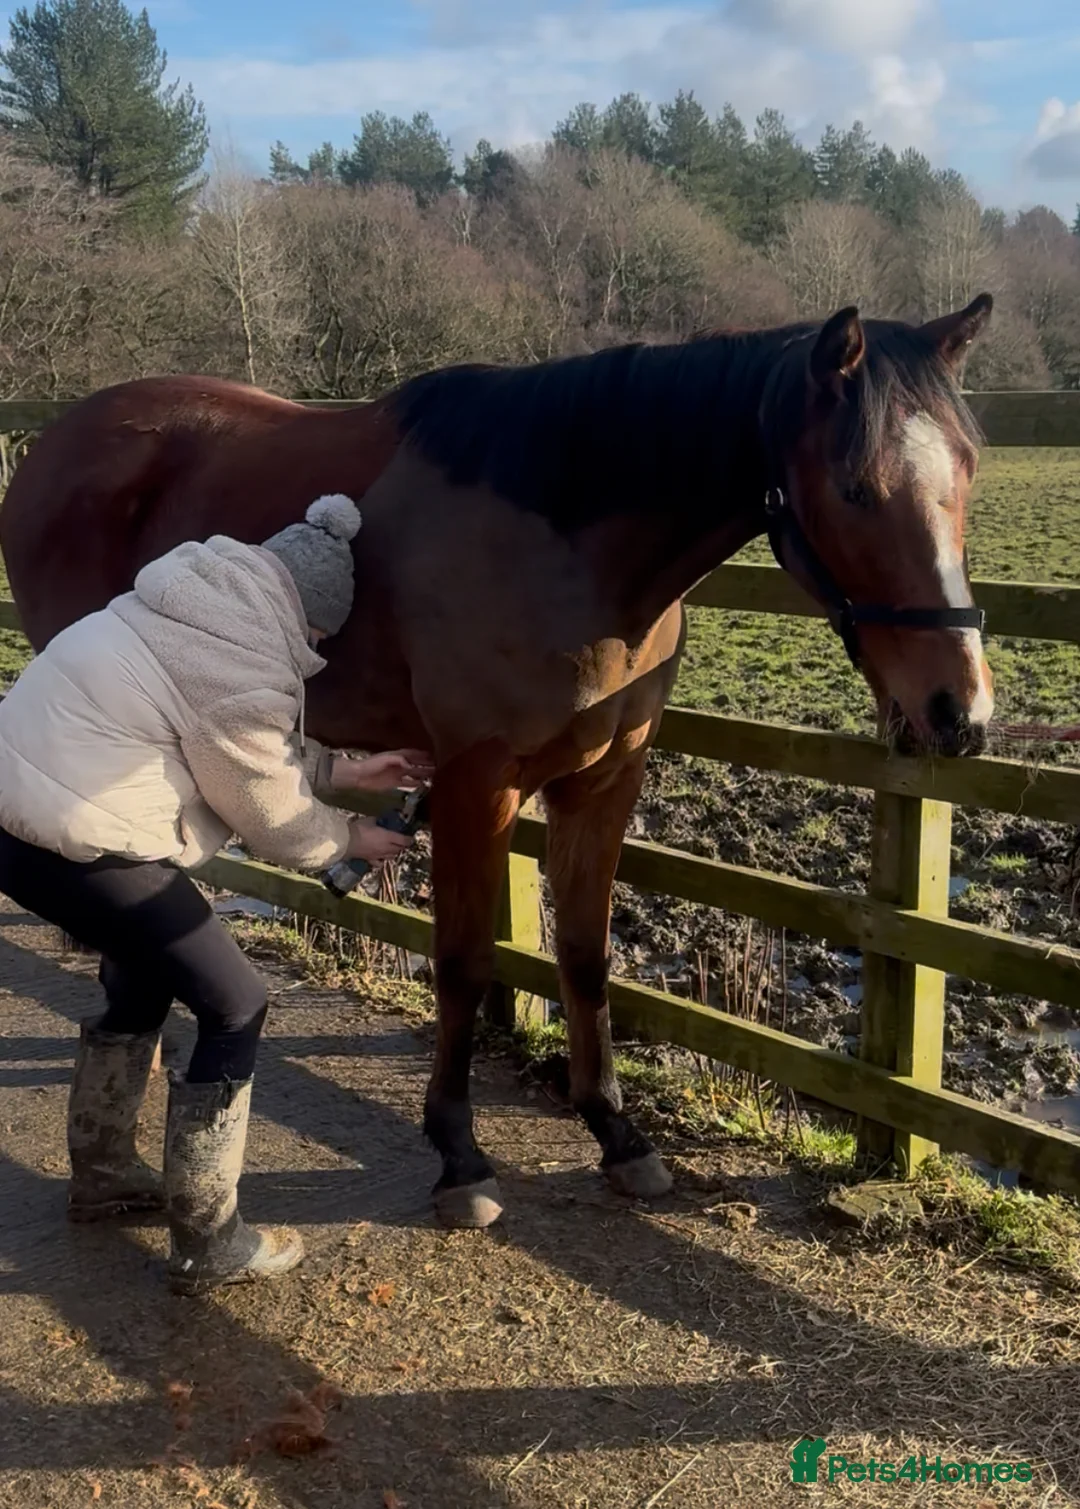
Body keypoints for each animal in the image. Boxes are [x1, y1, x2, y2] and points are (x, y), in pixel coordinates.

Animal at [0, 296, 995, 1228]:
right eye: (856, 487)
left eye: (967, 471)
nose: (961, 708)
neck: (567, 542)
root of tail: (60, 437)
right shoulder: (478, 784)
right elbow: (467, 962)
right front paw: (460, 1155)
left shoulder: (605, 779)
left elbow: (586, 957)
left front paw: (617, 1131)